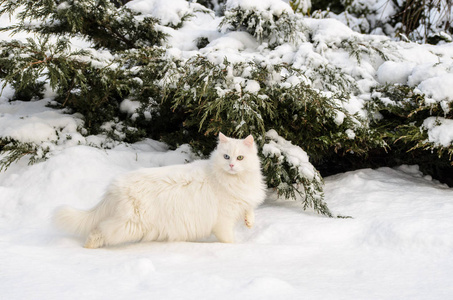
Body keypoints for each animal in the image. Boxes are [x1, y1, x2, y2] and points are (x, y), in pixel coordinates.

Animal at [53, 134, 264, 248]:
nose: (231, 165)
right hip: (130, 225)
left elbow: (249, 209)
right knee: (99, 230)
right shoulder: (223, 221)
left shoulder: (244, 200)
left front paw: (250, 222)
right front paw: (235, 250)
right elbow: (229, 240)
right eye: (226, 156)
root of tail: (115, 185)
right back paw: (87, 248)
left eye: (240, 157)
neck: (233, 180)